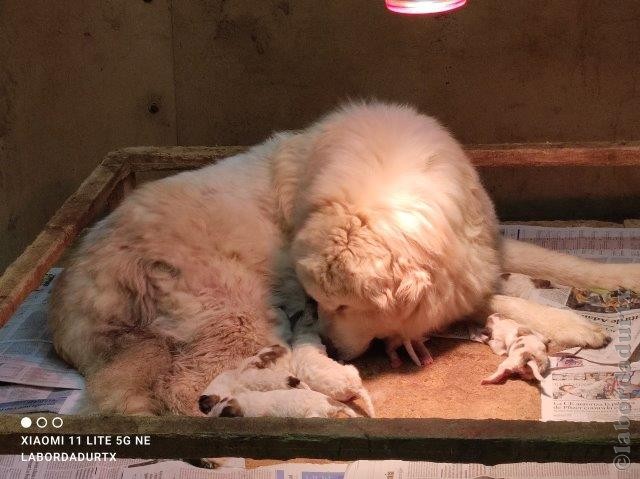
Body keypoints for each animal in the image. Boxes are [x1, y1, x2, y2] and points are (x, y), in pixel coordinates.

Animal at [48, 101, 636, 416]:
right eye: (319, 302)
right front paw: (571, 324)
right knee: (184, 387)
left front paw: (617, 278)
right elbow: (500, 299)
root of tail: (74, 286)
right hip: (233, 318)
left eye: (347, 305)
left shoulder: (481, 249)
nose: (327, 347)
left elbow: (556, 262)